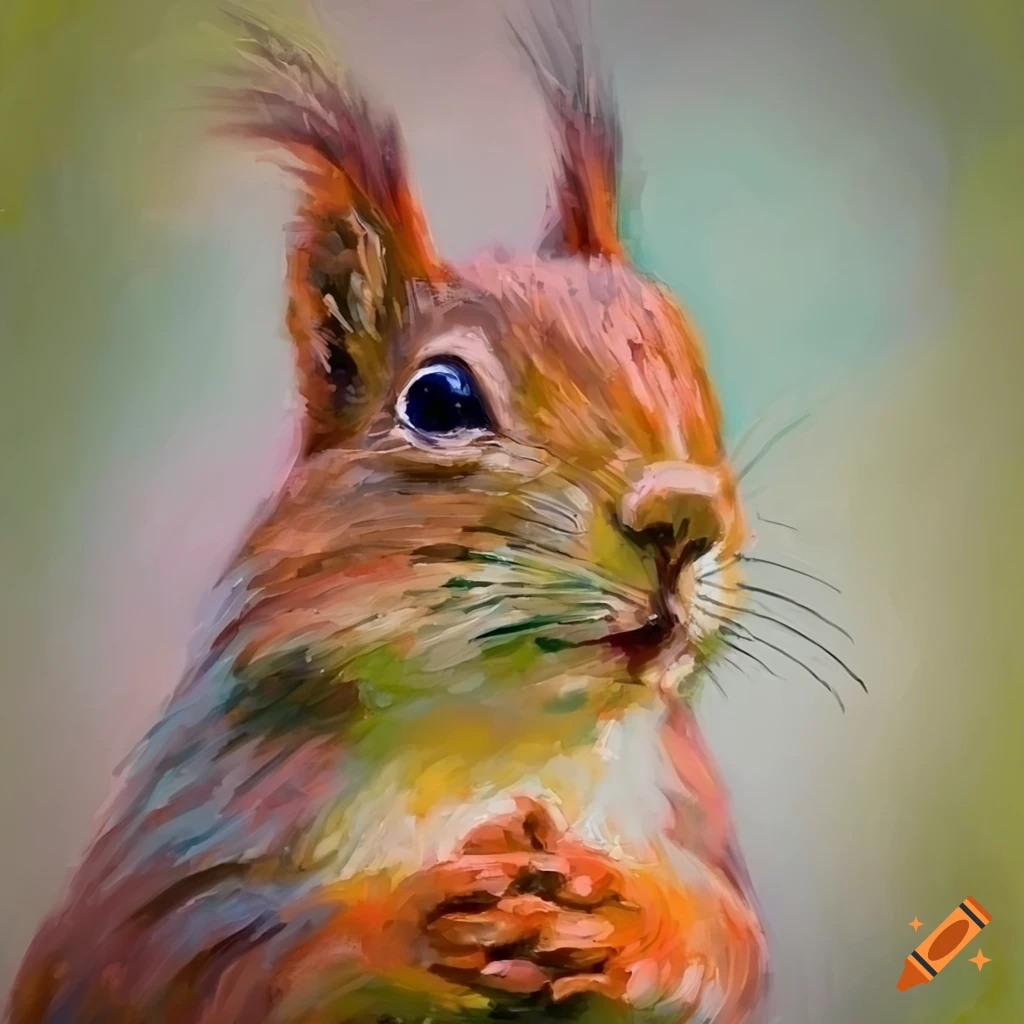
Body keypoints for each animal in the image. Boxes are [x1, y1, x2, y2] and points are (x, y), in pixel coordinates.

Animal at [6, 7, 768, 1023]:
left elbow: (731, 947)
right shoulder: (175, 855)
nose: (683, 515)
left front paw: (629, 917)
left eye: (691, 362)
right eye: (439, 399)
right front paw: (409, 919)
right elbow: (196, 951)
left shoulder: (686, 821)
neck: (500, 736)